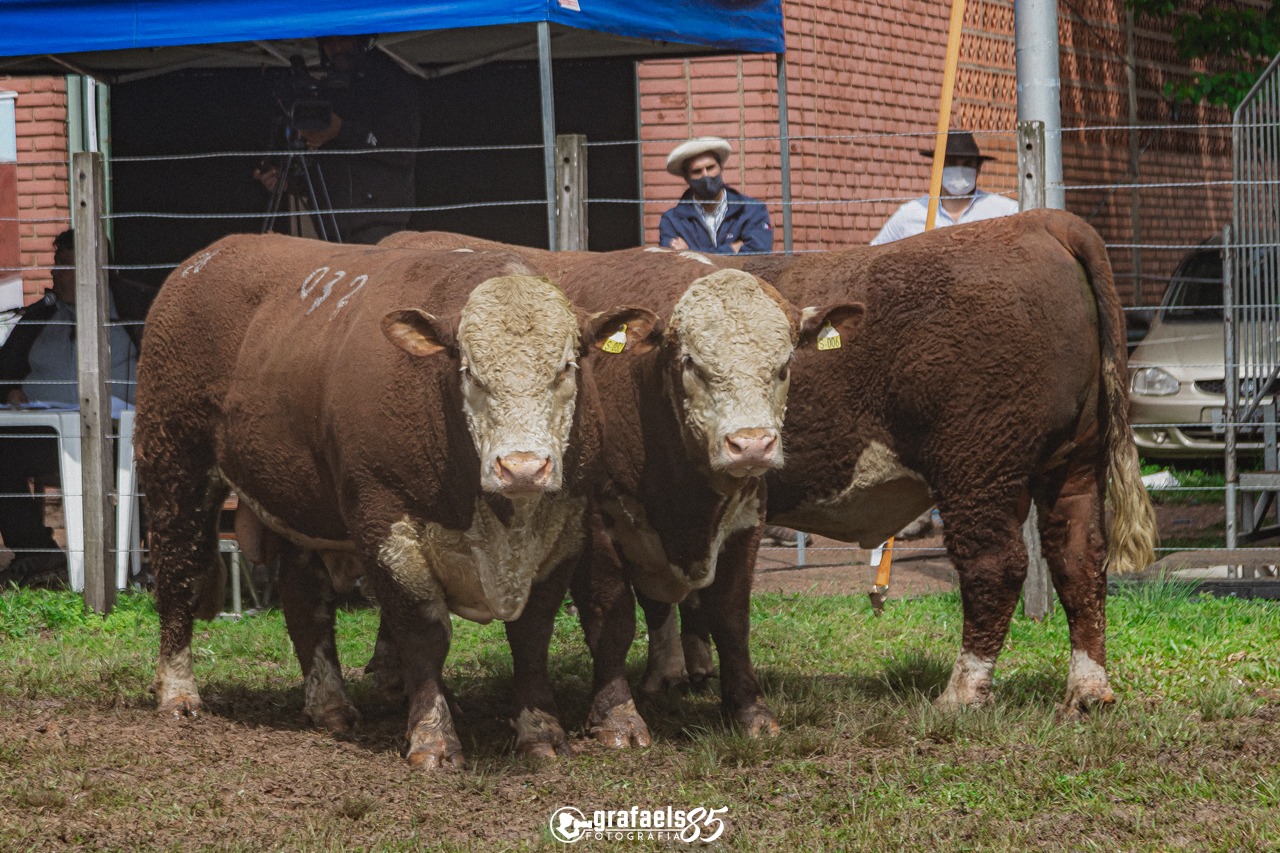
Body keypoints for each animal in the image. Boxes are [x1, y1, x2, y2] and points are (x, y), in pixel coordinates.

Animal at [136, 233, 655, 763]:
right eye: (469, 371)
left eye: (566, 366)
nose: (523, 467)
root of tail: (207, 257)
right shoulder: (384, 520)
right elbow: (424, 633)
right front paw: (433, 736)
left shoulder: (565, 526)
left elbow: (532, 632)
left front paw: (541, 731)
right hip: (174, 465)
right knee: (177, 573)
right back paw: (178, 693)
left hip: (301, 504)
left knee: (305, 602)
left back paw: (330, 706)